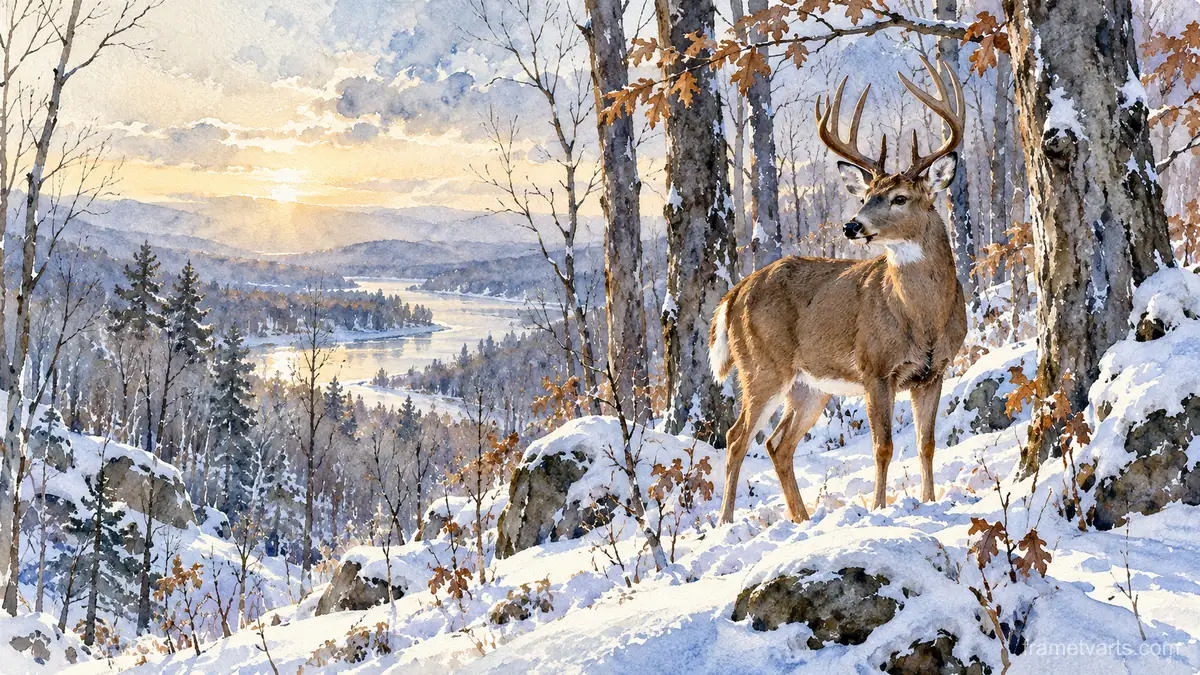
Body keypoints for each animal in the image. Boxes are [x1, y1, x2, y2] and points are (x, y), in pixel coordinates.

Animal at [709, 56, 968, 525]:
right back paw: (725, 522)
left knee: (777, 443)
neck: (923, 318)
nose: (852, 225)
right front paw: (881, 508)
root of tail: (732, 295)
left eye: (900, 197)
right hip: (762, 366)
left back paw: (802, 518)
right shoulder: (874, 368)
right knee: (738, 437)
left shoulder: (934, 371)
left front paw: (930, 502)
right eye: (866, 195)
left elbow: (927, 444)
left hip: (810, 386)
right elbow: (883, 446)